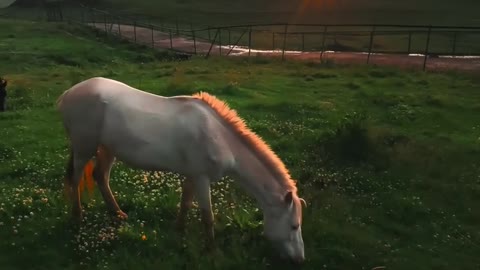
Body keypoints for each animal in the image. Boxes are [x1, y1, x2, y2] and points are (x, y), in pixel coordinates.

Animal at [55, 77, 304, 262]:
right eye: (294, 226)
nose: (300, 260)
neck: (219, 138)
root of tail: (68, 93)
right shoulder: (202, 178)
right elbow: (207, 215)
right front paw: (212, 250)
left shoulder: (191, 175)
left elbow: (185, 204)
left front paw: (179, 231)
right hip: (84, 147)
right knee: (76, 179)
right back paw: (77, 217)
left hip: (107, 149)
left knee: (100, 177)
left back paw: (117, 214)